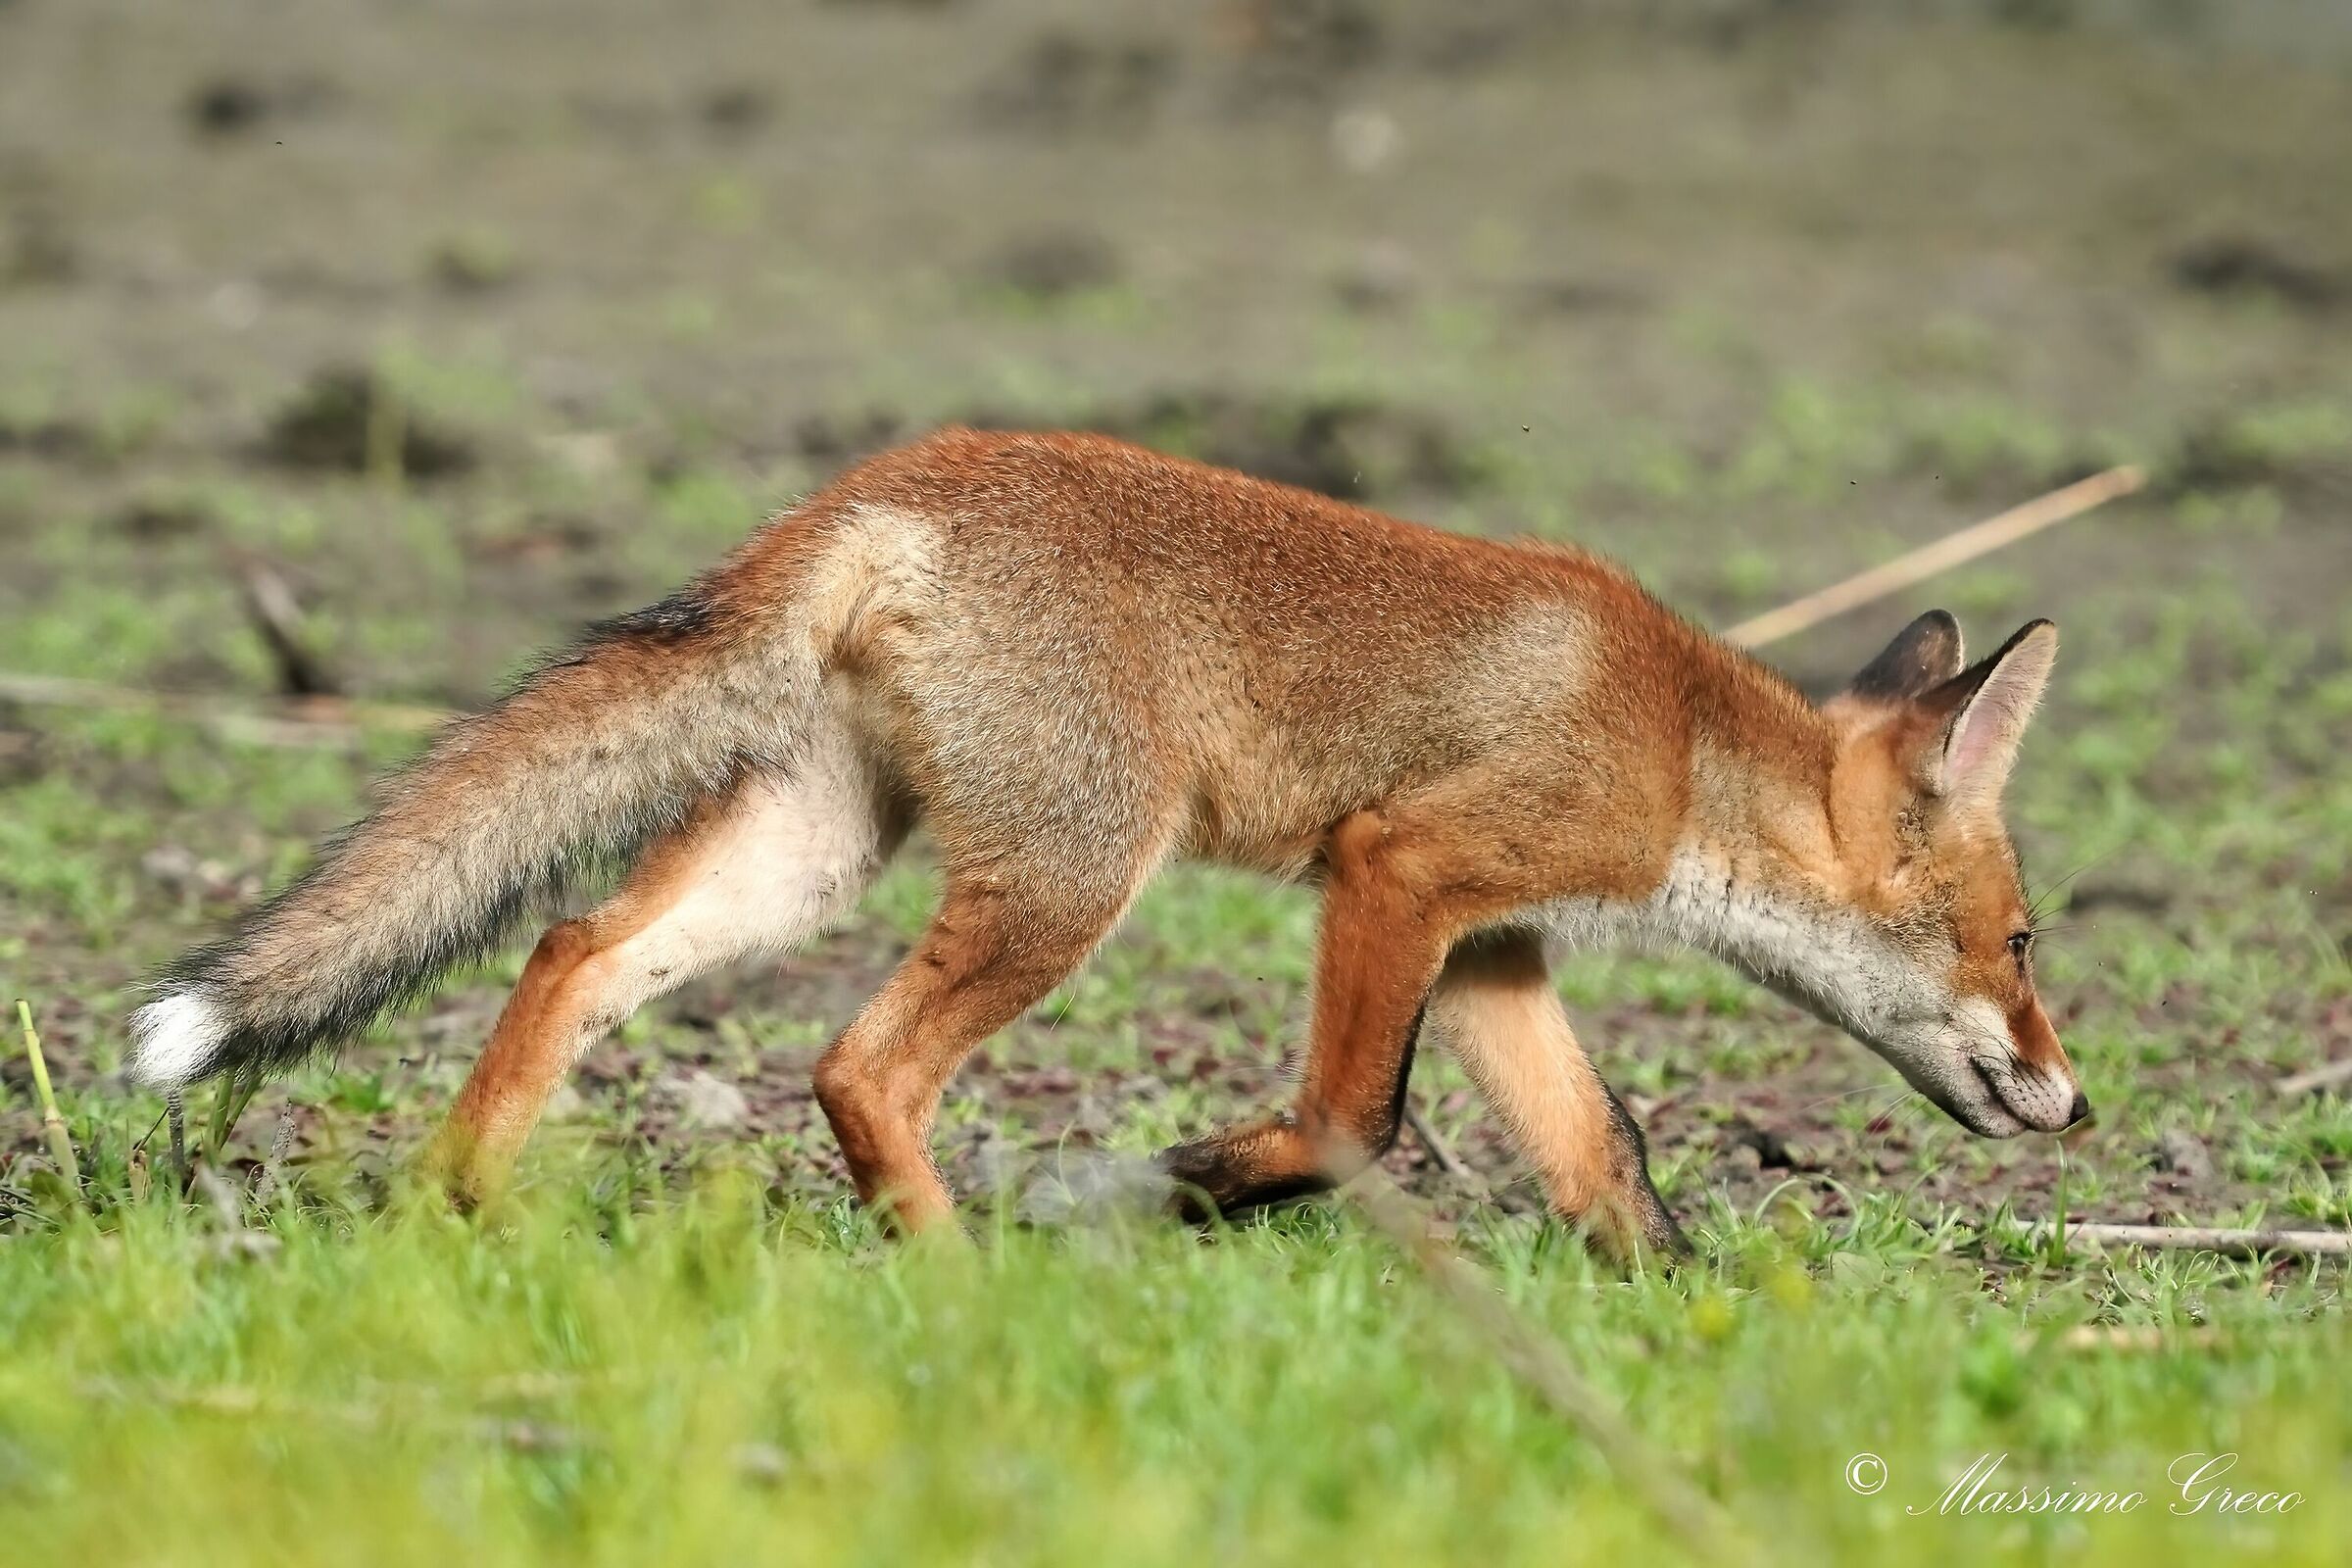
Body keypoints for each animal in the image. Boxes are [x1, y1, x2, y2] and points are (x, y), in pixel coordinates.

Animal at [128, 427, 2086, 1258]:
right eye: (2023, 944)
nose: (2077, 1105)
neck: (1676, 745)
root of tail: (888, 483)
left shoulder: (1492, 950)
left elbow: (1607, 1156)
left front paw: (1676, 1319)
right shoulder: (1396, 872)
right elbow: (1354, 1121)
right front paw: (1169, 1190)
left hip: (819, 856)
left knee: (568, 951)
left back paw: (458, 1209)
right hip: (1074, 879)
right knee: (858, 1066)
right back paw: (960, 1275)